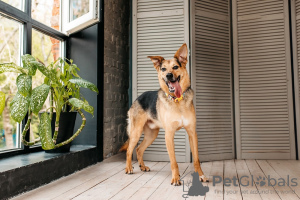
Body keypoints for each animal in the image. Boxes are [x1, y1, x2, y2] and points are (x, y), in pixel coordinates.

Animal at [119, 43, 209, 186]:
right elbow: (173, 161)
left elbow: (196, 159)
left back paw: (142, 166)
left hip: (151, 134)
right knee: (129, 150)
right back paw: (129, 168)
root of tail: (138, 97)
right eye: (163, 69)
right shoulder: (169, 135)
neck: (177, 101)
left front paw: (201, 176)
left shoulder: (192, 133)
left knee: (139, 149)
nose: (168, 75)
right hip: (136, 132)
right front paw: (176, 178)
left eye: (175, 67)